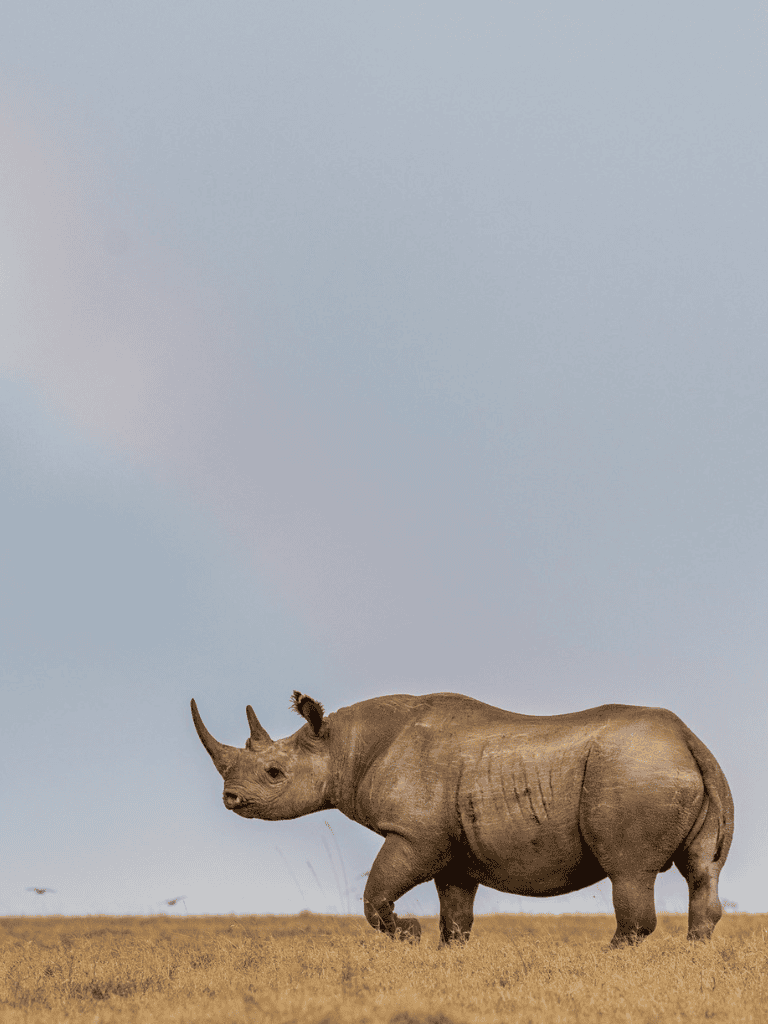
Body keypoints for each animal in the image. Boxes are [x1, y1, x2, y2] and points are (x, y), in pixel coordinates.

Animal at [191, 691, 733, 947]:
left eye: (274, 773)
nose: (230, 798)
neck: (344, 746)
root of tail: (690, 740)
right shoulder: (453, 852)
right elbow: (456, 919)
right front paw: (442, 954)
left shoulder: (414, 835)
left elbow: (374, 895)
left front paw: (409, 934)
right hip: (675, 768)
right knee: (701, 871)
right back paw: (693, 957)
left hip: (634, 769)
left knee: (629, 871)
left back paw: (607, 960)